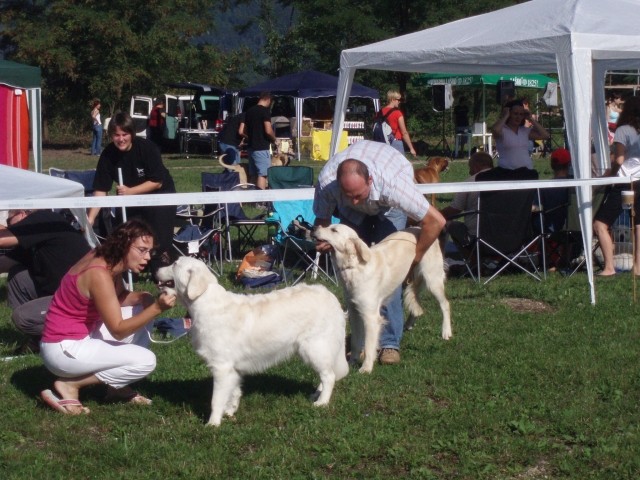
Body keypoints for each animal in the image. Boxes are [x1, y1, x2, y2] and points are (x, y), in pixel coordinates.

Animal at [155, 256, 348, 426]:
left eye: (174, 264)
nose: (154, 269)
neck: (204, 302)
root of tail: (331, 296)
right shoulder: (232, 369)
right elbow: (233, 392)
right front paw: (230, 411)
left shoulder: (221, 367)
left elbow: (216, 400)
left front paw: (213, 423)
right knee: (326, 374)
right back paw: (317, 394)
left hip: (314, 347)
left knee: (329, 376)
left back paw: (322, 403)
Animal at [314, 225, 452, 376]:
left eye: (334, 230)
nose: (314, 227)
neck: (355, 266)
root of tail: (418, 227)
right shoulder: (354, 312)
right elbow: (356, 342)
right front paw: (352, 362)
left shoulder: (370, 317)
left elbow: (369, 345)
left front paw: (366, 368)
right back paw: (409, 324)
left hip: (432, 278)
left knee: (445, 304)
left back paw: (446, 331)